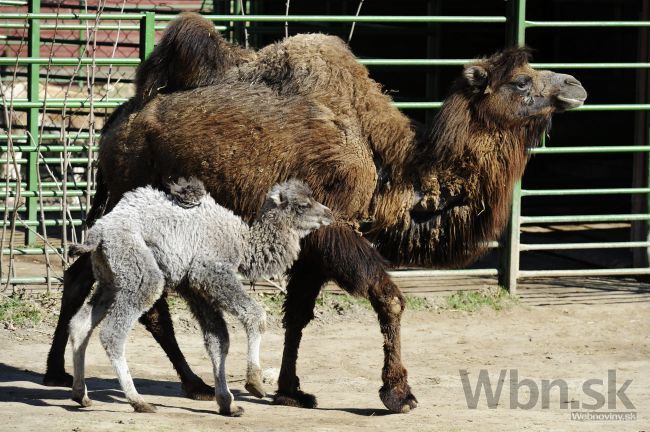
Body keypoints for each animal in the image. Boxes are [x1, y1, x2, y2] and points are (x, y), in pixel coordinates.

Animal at [68, 178, 332, 416]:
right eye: (303, 205)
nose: (329, 213)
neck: (242, 243)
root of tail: (98, 233)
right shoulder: (210, 271)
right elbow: (255, 315)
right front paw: (254, 384)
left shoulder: (193, 287)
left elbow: (218, 340)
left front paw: (228, 404)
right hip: (139, 270)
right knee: (113, 333)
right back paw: (139, 402)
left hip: (110, 281)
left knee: (80, 324)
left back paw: (82, 395)